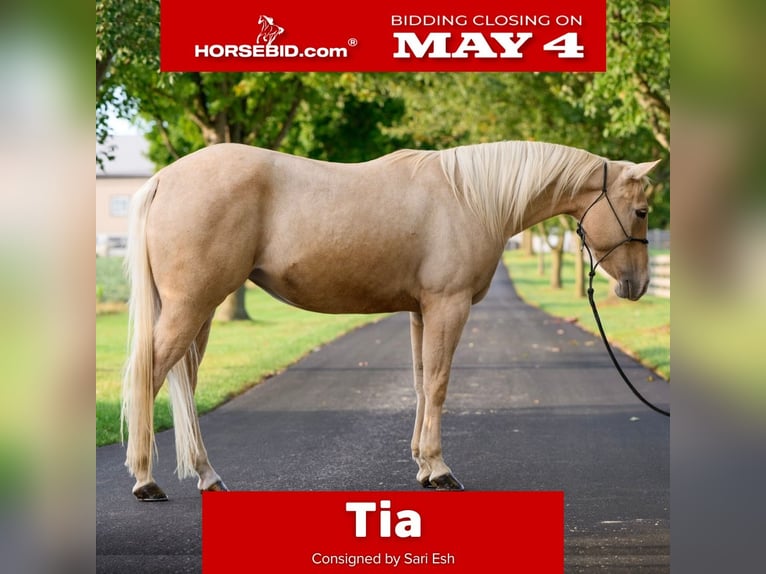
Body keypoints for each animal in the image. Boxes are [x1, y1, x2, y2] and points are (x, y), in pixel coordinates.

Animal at [122, 140, 660, 500]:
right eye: (640, 211)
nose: (637, 285)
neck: (469, 197)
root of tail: (164, 179)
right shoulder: (448, 305)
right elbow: (439, 384)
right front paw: (440, 471)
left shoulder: (422, 310)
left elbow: (421, 383)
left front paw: (422, 466)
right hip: (192, 307)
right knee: (148, 376)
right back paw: (146, 480)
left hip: (201, 311)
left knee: (185, 385)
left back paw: (206, 475)